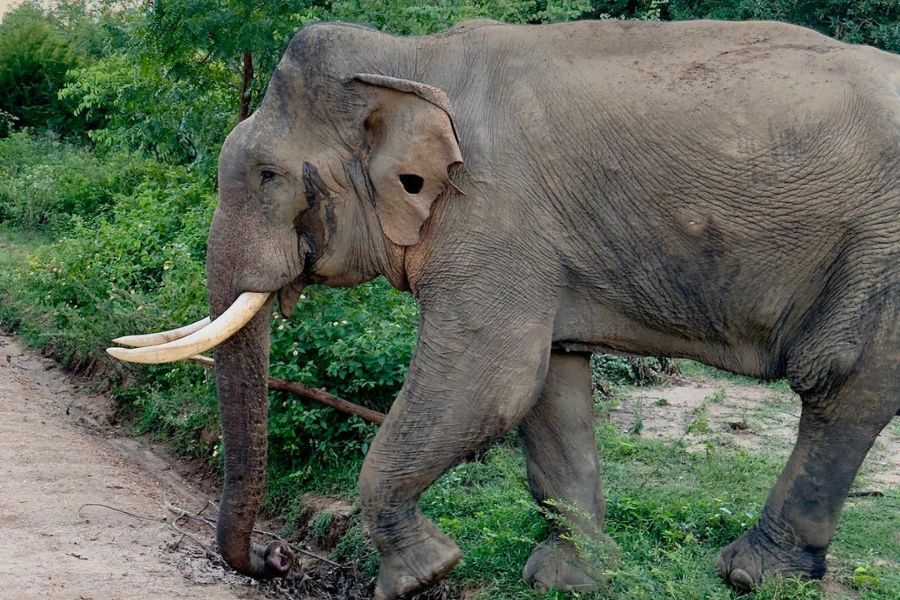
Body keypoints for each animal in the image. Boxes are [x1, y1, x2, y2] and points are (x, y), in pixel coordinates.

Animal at [107, 18, 900, 600]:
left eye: (268, 175)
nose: (278, 557)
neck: (410, 59)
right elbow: (550, 384)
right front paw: (571, 581)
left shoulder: (494, 212)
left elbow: (489, 378)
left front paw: (423, 576)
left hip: (882, 249)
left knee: (843, 385)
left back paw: (750, 573)